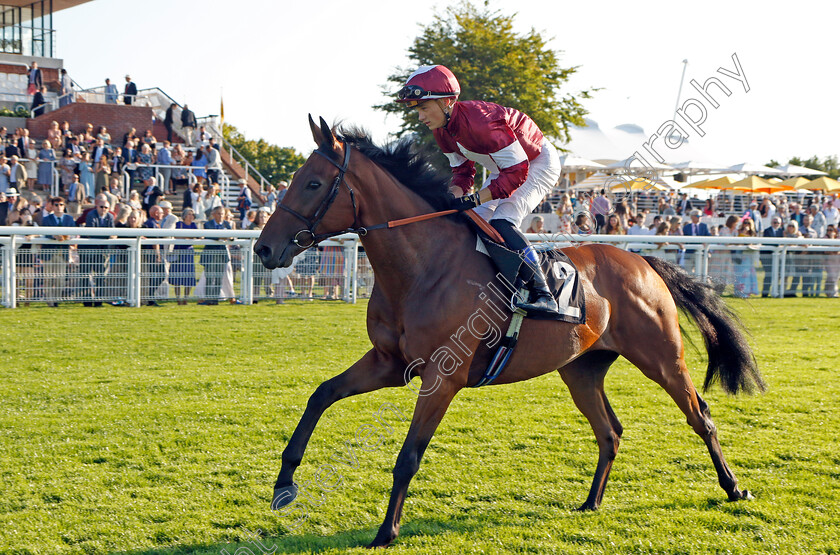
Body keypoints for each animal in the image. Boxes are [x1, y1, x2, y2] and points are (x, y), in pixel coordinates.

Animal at [253, 116, 764, 548]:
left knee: (700, 416)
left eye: (313, 183)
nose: (263, 249)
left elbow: (408, 456)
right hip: (581, 369)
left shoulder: (443, 377)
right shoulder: (389, 363)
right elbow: (321, 394)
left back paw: (734, 488)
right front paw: (284, 484)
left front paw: (386, 531)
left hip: (662, 357)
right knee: (610, 432)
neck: (423, 267)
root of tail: (643, 260)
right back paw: (591, 501)